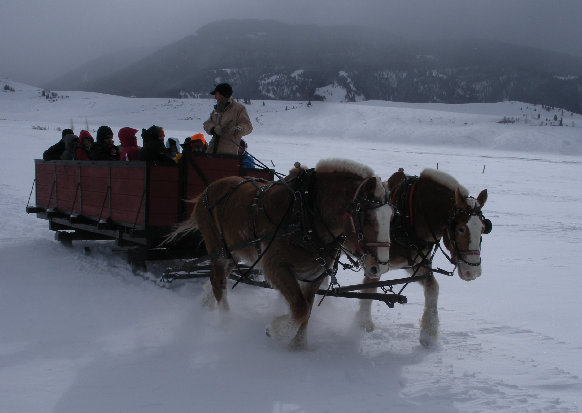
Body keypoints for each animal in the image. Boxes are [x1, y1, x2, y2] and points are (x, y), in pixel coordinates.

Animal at [171, 158, 394, 348]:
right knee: (218, 280)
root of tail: (208, 189)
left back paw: (206, 301)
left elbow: (306, 310)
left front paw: (298, 345)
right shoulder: (276, 267)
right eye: (368, 218)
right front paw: (276, 330)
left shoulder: (315, 274)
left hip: (234, 252)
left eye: (391, 217)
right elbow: (300, 309)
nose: (380, 266)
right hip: (219, 249)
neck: (305, 216)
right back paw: (227, 320)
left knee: (219, 278)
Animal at [358, 167, 490, 344]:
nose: (473, 271)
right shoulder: (374, 263)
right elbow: (369, 289)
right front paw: (364, 325)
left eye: (483, 228)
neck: (408, 217)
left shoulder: (415, 263)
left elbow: (433, 289)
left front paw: (428, 334)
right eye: (461, 228)